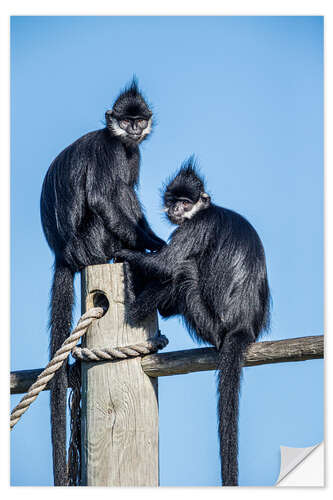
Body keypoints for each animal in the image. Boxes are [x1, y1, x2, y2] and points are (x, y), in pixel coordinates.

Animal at [39, 80, 164, 486]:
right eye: (125, 120)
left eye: (139, 119)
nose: (134, 129)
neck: (120, 140)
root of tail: (64, 254)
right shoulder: (111, 151)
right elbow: (103, 197)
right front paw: (157, 246)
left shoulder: (131, 151)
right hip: (93, 239)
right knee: (113, 196)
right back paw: (129, 250)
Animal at [115, 160, 268, 484]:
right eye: (173, 200)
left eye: (186, 202)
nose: (176, 209)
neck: (205, 210)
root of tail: (242, 327)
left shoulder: (196, 225)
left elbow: (167, 265)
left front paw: (125, 253)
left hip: (210, 324)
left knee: (183, 270)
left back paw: (134, 305)